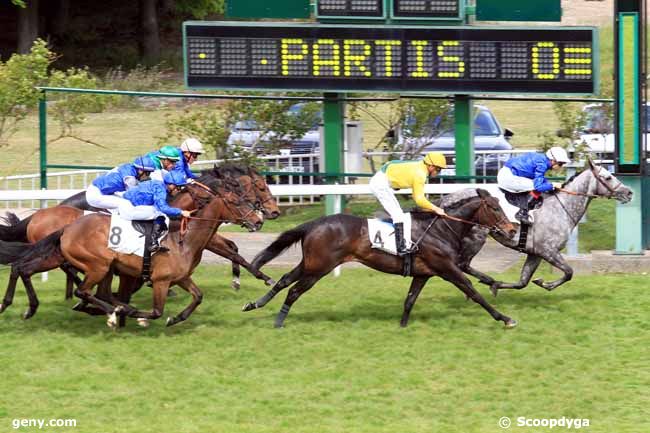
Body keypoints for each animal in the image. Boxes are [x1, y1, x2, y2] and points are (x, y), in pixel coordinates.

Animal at [243, 188, 516, 328]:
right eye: (494, 208)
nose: (512, 230)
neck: (440, 229)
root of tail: (315, 223)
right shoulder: (447, 269)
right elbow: (473, 291)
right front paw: (504, 318)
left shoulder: (423, 274)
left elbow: (409, 300)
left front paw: (403, 325)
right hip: (319, 268)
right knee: (294, 291)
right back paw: (279, 321)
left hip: (310, 264)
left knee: (284, 280)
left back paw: (254, 304)